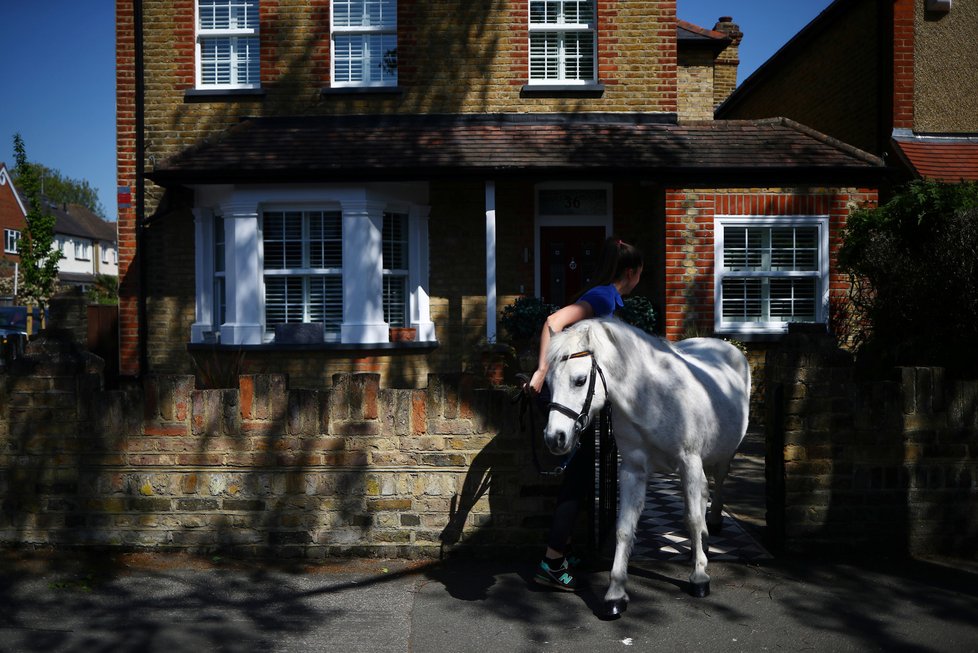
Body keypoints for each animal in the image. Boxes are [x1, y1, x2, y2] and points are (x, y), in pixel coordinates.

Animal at [540, 318, 748, 620]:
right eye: (548, 382)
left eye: (579, 380)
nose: (555, 438)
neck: (653, 397)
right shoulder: (633, 469)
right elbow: (624, 529)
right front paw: (615, 595)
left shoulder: (689, 461)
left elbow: (693, 518)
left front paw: (699, 578)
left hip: (721, 455)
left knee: (717, 485)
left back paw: (713, 526)